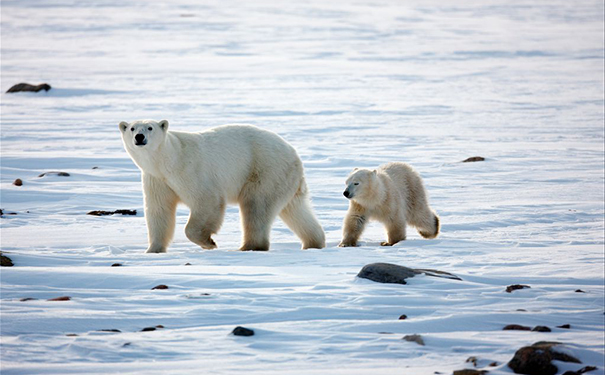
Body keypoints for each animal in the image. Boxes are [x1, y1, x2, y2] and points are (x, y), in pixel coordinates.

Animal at [118, 120, 326, 254]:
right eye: (132, 128)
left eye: (150, 127)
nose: (139, 136)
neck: (167, 159)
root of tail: (294, 154)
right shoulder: (156, 179)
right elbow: (158, 211)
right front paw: (152, 250)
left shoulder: (189, 170)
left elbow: (207, 201)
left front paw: (209, 242)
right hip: (283, 178)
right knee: (295, 210)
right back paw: (313, 242)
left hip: (265, 170)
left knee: (256, 207)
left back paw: (249, 246)